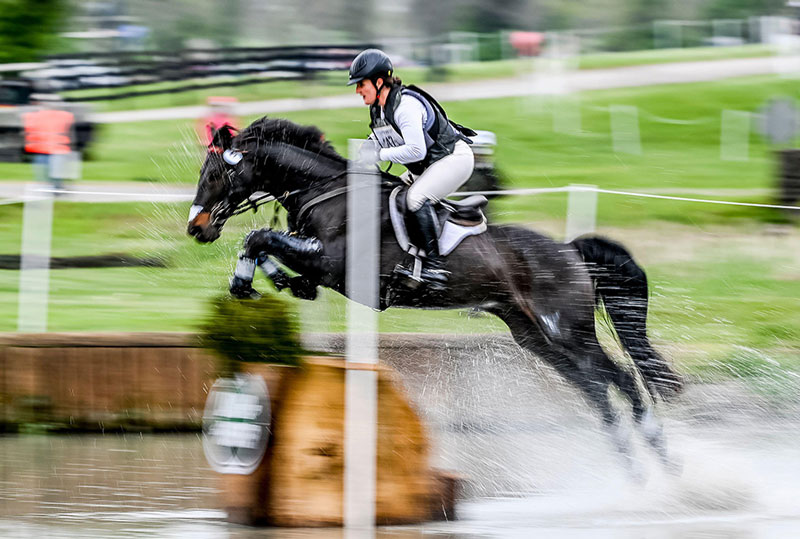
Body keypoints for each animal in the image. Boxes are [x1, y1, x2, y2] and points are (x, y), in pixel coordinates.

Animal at [186, 118, 680, 472]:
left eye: (215, 173)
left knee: (618, 378)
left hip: (566, 331)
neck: (328, 194)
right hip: (534, 337)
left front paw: (244, 282)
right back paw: (638, 465)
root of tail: (570, 250)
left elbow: (258, 237)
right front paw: (257, 283)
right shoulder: (319, 270)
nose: (196, 228)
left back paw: (660, 458)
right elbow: (263, 246)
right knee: (596, 389)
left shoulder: (331, 263)